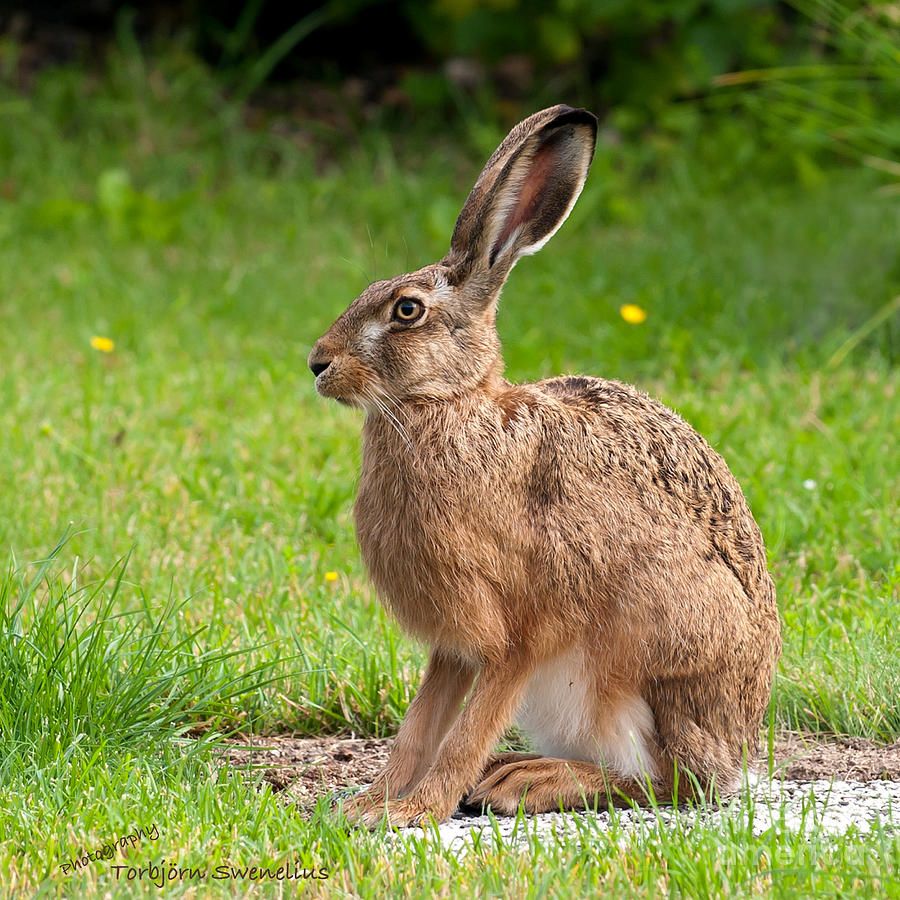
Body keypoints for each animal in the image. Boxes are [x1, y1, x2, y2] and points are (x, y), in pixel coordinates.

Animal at [308, 105, 782, 828]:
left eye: (407, 310)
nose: (318, 363)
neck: (451, 405)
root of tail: (738, 753)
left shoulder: (523, 634)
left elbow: (465, 731)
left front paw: (414, 812)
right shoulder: (455, 644)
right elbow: (422, 724)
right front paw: (368, 805)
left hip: (652, 658)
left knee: (671, 783)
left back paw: (533, 782)